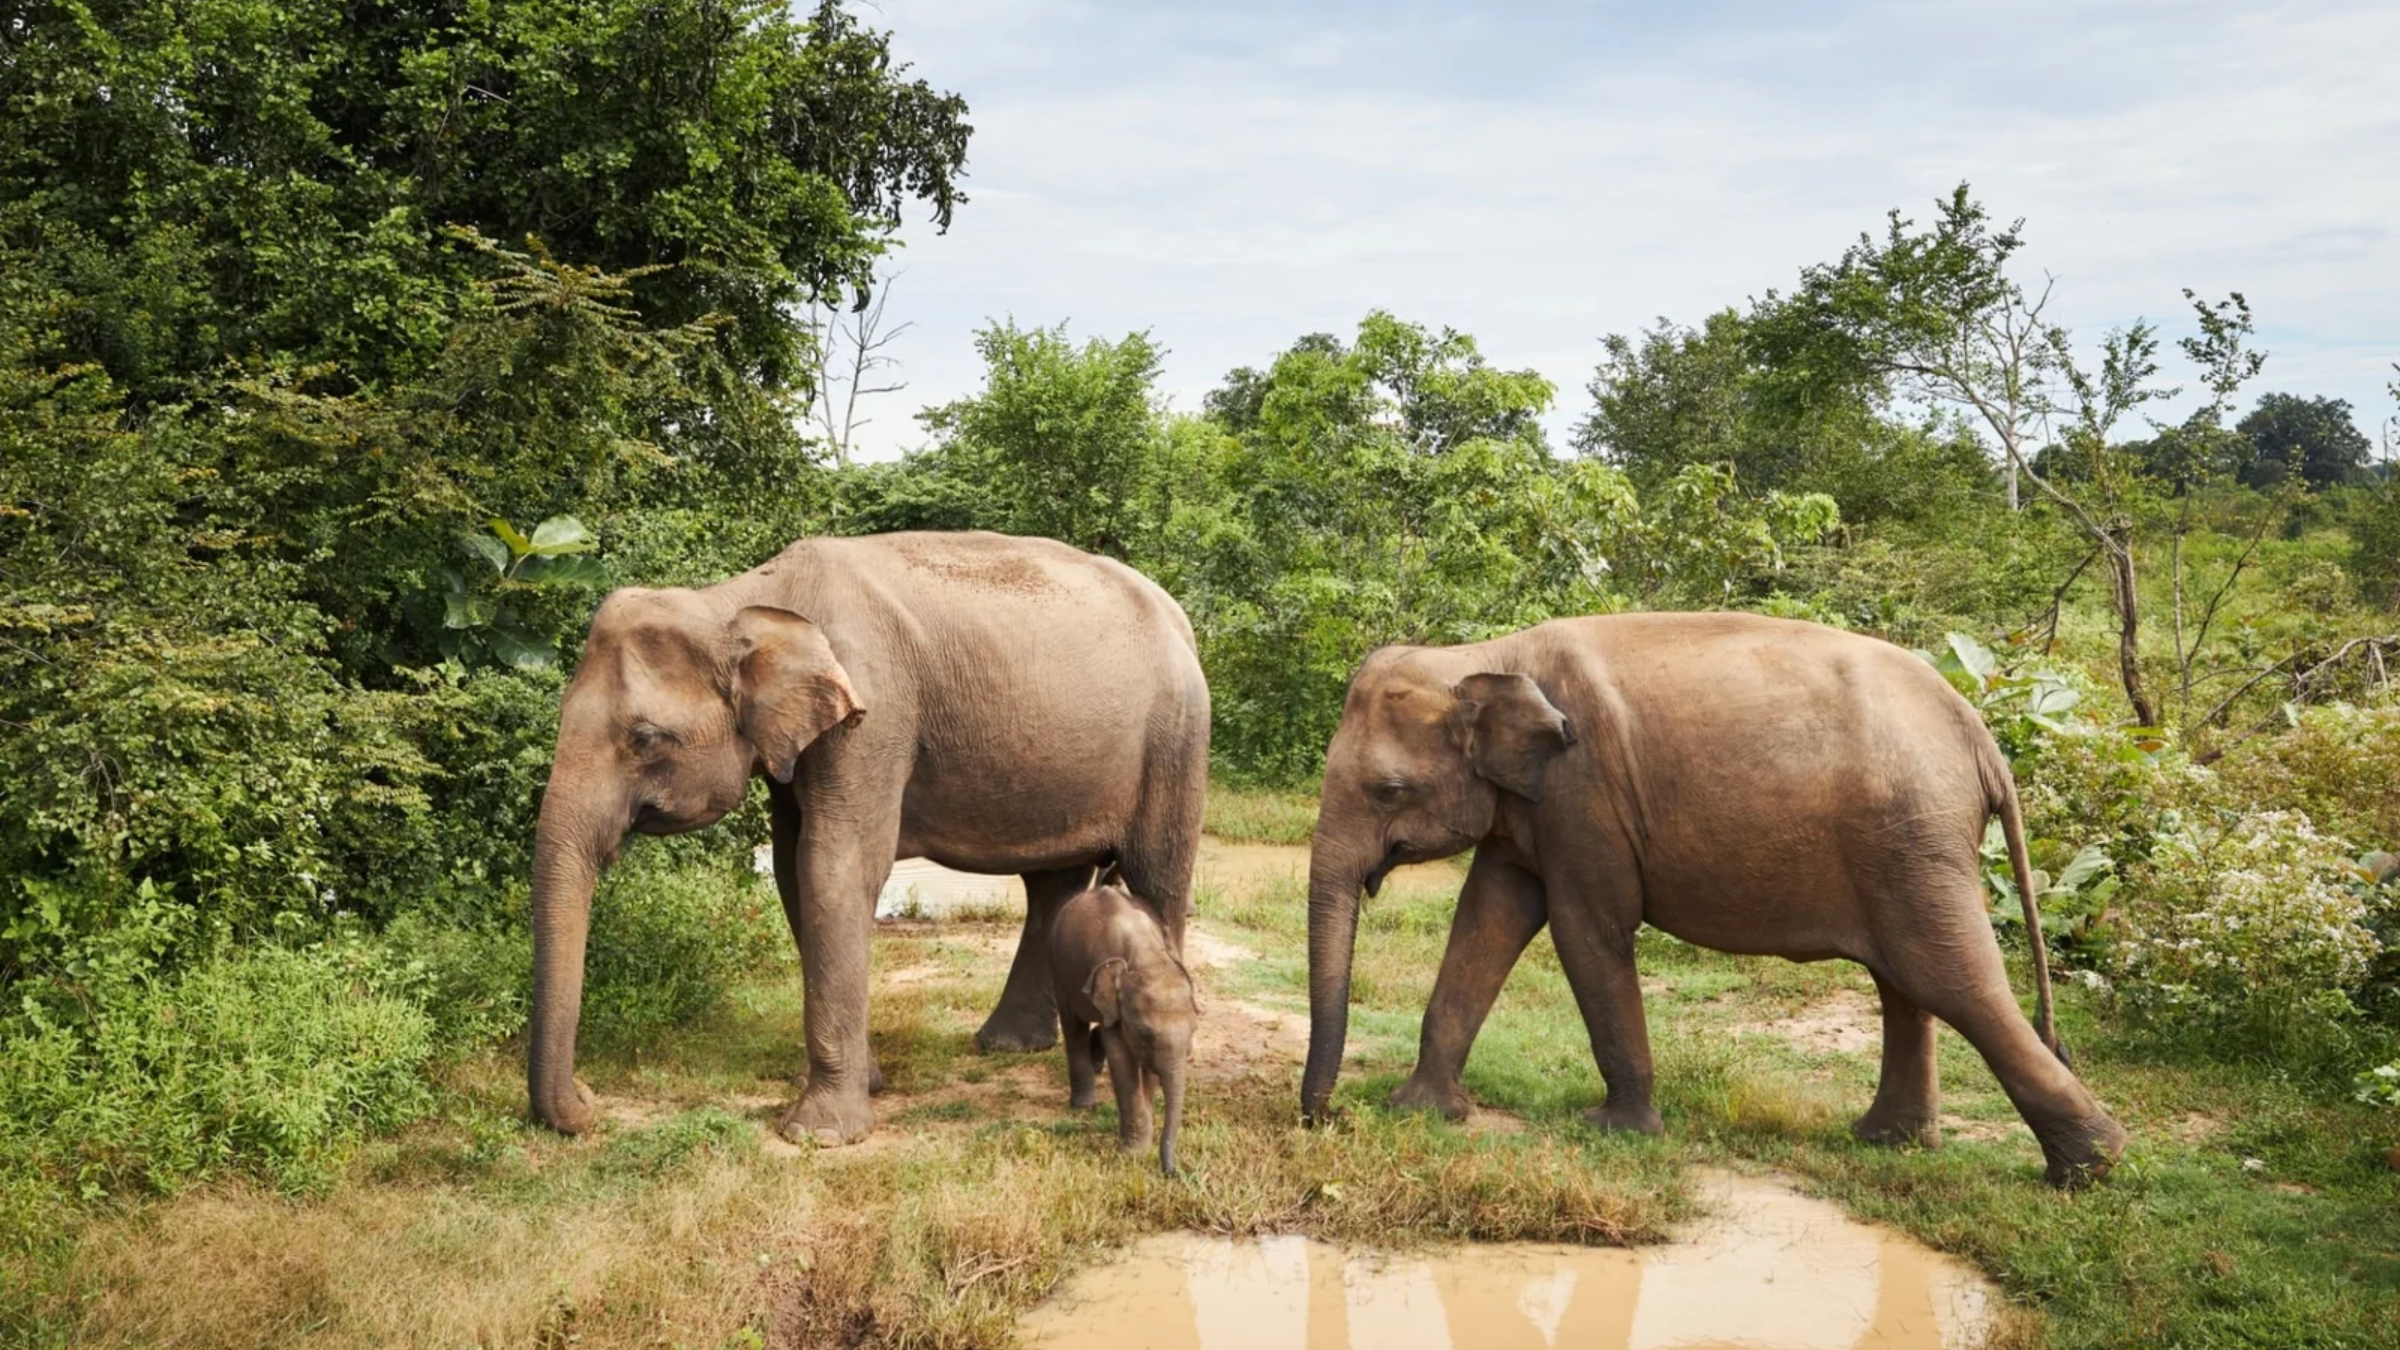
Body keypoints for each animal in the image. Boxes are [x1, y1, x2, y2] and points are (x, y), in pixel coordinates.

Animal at [1048, 877, 1197, 1175]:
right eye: (1145, 1033)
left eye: (1193, 1033)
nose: (1174, 1172)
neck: (1146, 955)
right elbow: (1122, 1060)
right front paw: (1133, 1154)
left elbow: (1147, 1069)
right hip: (1059, 969)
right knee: (1074, 1028)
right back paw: (1084, 1105)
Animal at [1299, 612, 2128, 1187]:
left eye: (1387, 790)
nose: (1323, 1119)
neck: (1482, 656)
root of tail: (1983, 738)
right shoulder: (1529, 809)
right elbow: (1488, 920)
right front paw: (1420, 1112)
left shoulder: (1585, 797)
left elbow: (1586, 929)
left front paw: (1616, 1131)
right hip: (1905, 845)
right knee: (1906, 983)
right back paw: (1889, 1143)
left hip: (1912, 835)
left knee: (1949, 979)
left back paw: (2091, 1169)